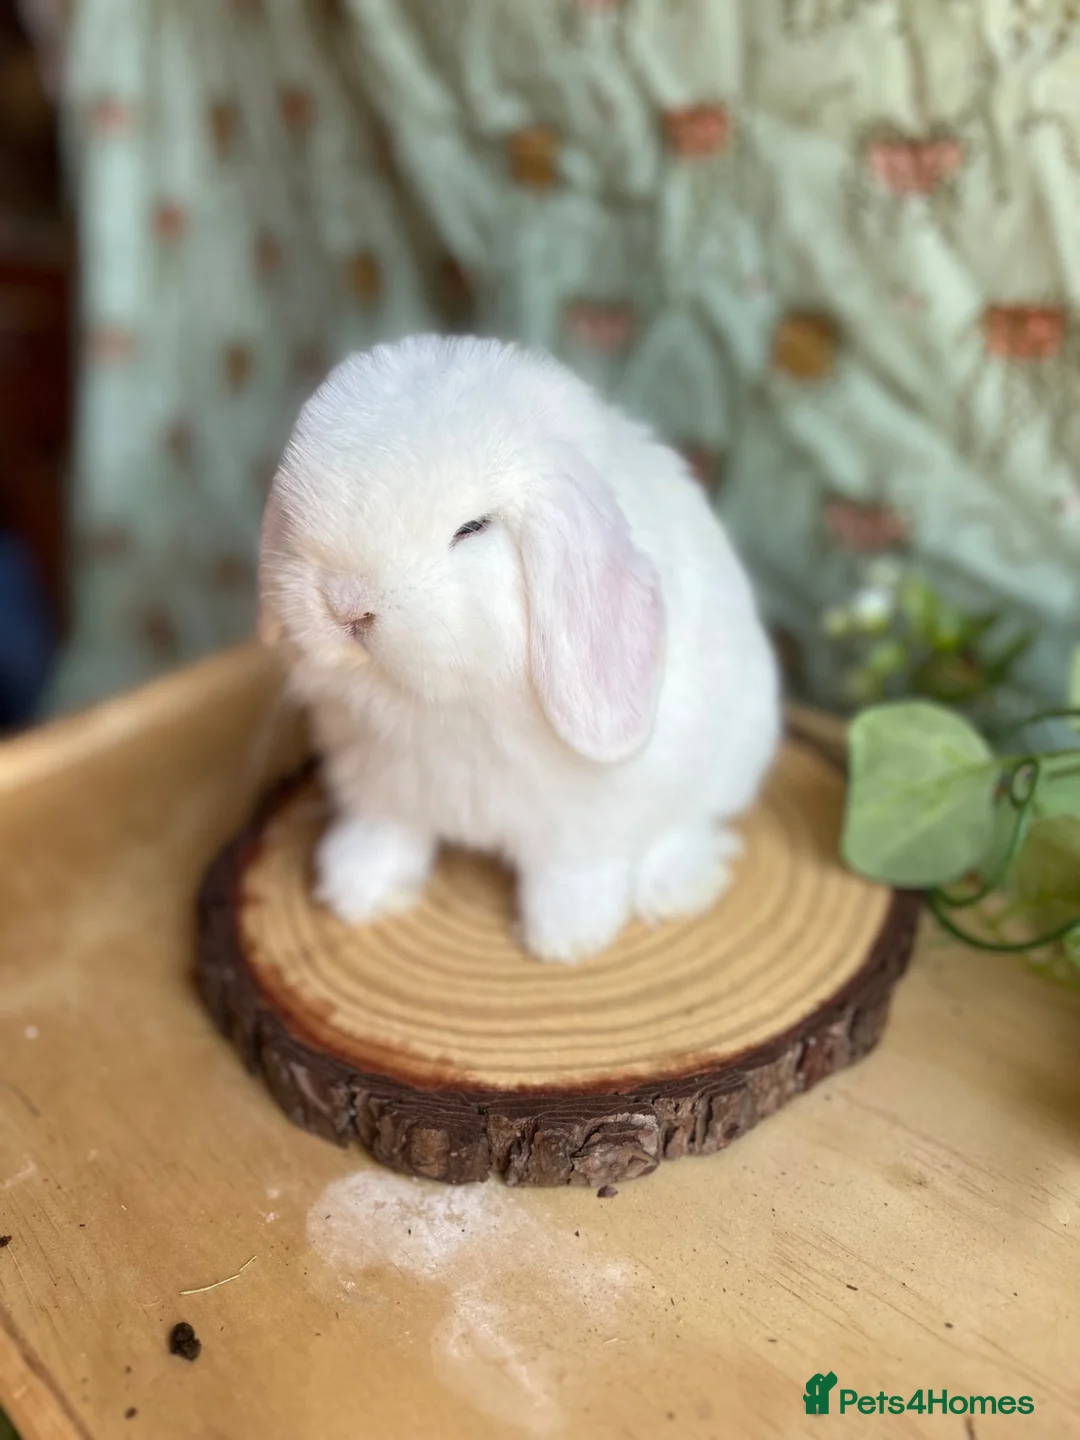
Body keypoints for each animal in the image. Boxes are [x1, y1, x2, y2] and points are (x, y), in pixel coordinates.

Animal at [258, 335, 781, 963]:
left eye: (474, 528)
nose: (346, 607)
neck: (447, 705)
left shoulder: (586, 819)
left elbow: (574, 870)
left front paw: (567, 939)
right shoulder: (380, 778)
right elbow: (388, 830)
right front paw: (358, 889)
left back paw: (674, 886)